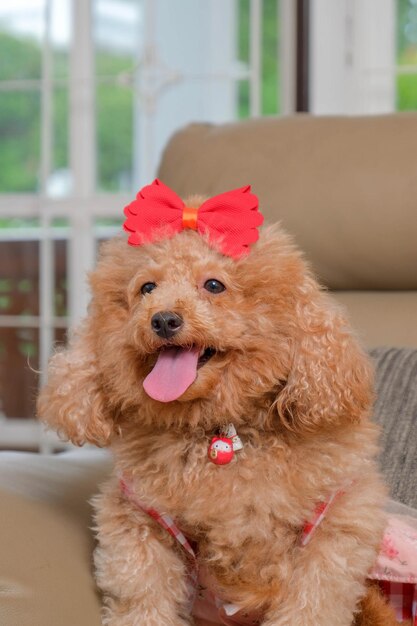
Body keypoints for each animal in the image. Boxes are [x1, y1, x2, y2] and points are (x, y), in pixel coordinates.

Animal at [39, 180, 400, 624]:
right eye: (146, 288)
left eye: (214, 285)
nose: (163, 320)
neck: (218, 429)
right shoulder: (140, 523)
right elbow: (143, 597)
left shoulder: (334, 531)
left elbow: (312, 604)